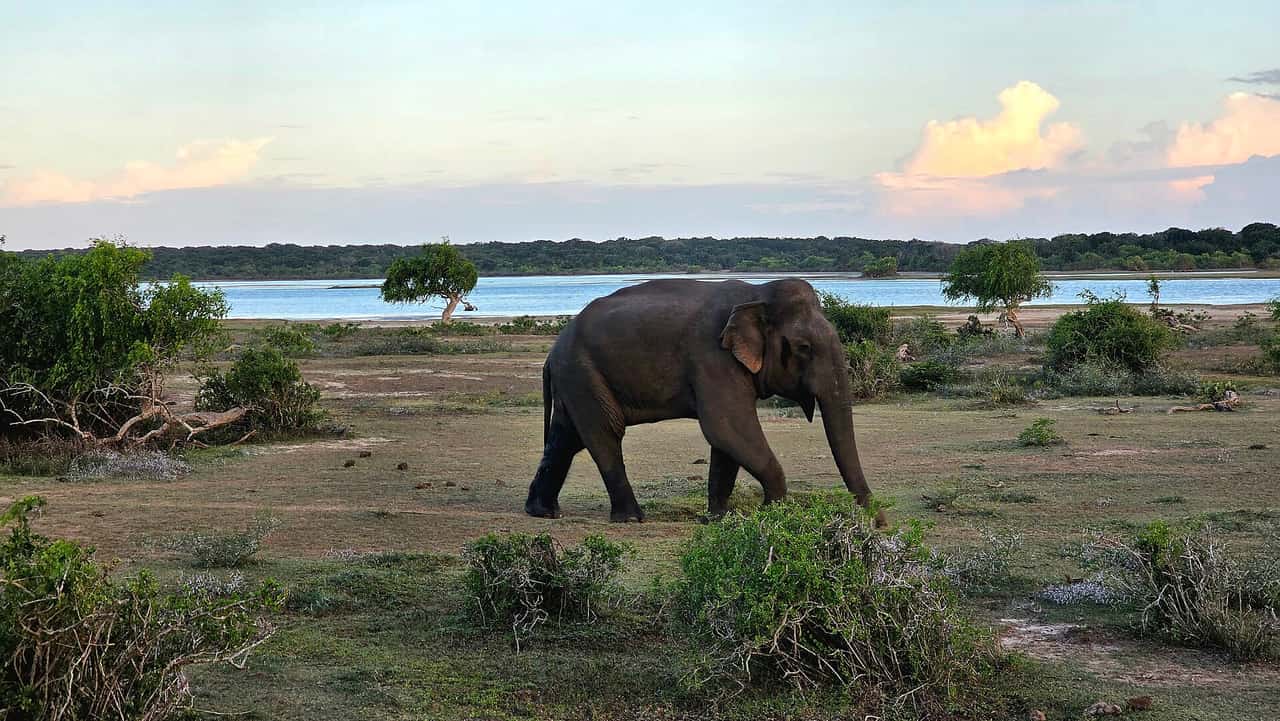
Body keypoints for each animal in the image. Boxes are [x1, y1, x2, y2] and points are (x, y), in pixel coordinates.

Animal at [524, 277, 884, 525]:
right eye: (804, 348)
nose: (879, 523)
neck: (756, 295)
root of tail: (553, 351)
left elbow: (726, 441)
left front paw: (718, 519)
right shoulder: (713, 357)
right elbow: (725, 425)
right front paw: (774, 512)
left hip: (578, 379)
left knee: (566, 438)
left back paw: (543, 512)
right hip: (582, 373)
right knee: (604, 433)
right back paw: (631, 518)